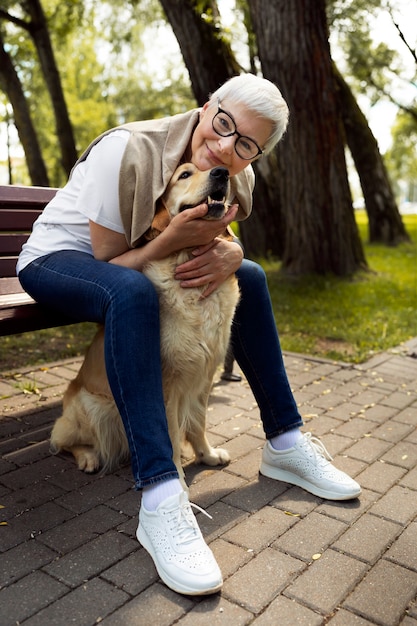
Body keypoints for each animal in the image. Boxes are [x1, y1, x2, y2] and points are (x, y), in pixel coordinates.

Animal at [50, 165, 240, 488]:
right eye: (185, 174)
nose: (222, 172)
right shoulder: (167, 385)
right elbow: (172, 436)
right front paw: (176, 476)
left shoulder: (203, 375)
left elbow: (198, 422)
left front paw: (207, 454)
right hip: (92, 409)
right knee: (63, 441)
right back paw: (88, 457)